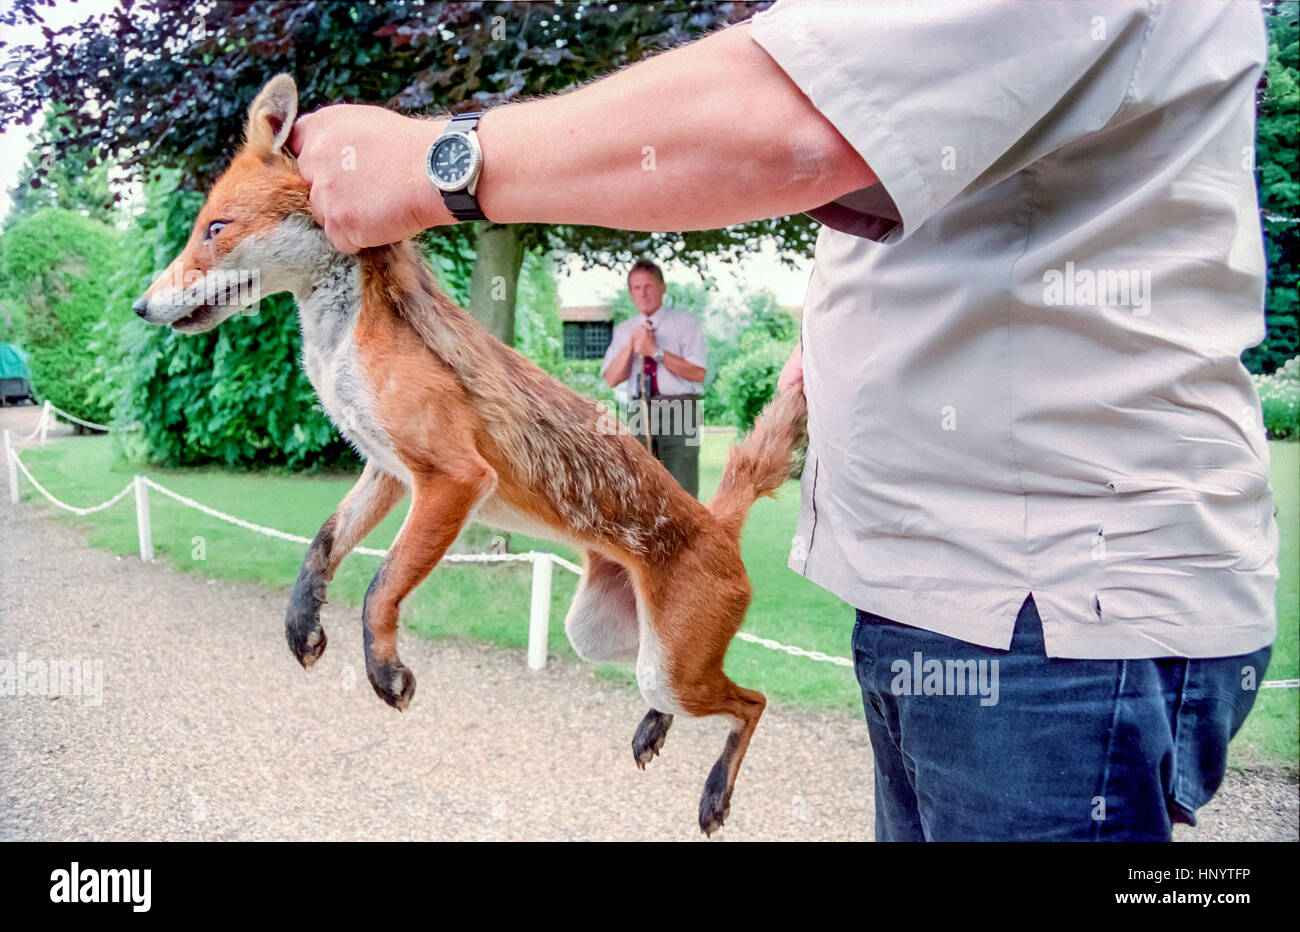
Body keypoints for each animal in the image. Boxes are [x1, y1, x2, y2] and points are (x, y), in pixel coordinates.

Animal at [131, 74, 800, 837]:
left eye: (215, 229)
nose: (140, 307)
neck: (336, 346)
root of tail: (719, 522)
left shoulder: (454, 478)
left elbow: (379, 586)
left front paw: (385, 673)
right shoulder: (388, 471)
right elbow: (322, 546)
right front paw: (302, 625)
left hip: (669, 663)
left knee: (754, 699)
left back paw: (715, 793)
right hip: (607, 640)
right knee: (693, 696)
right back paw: (654, 730)